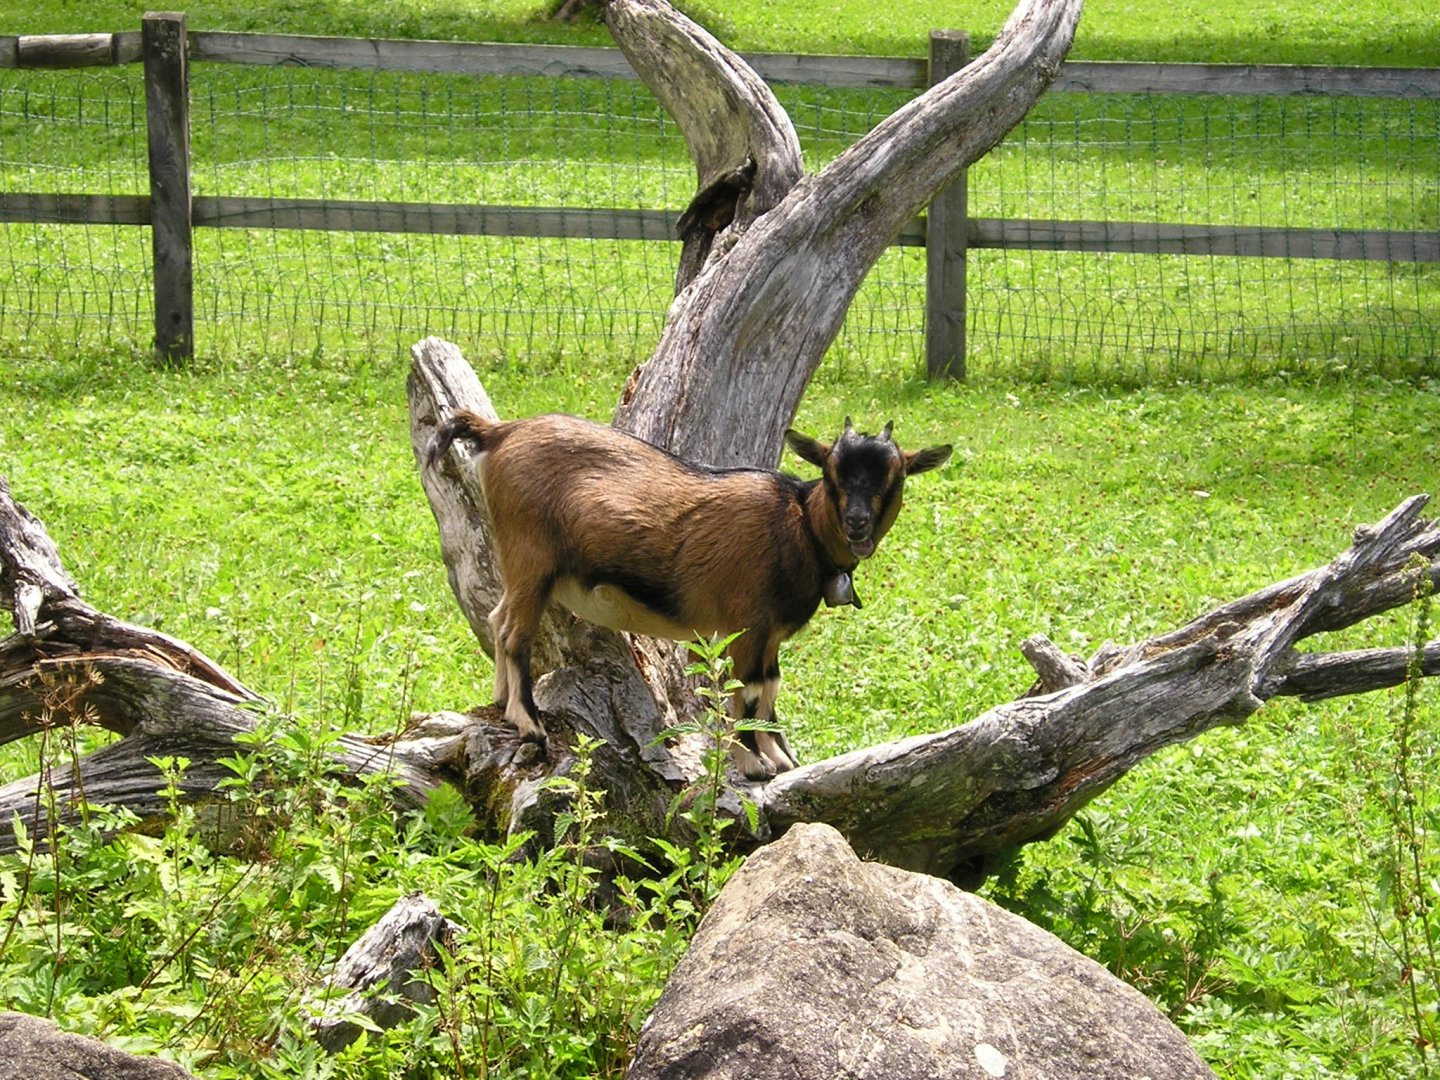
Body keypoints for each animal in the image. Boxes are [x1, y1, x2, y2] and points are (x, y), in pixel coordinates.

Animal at [423, 411, 956, 777]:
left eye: (895, 477)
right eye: (831, 472)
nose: (857, 524)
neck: (798, 524)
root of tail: (499, 432)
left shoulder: (770, 633)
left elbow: (770, 687)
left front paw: (781, 756)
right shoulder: (745, 623)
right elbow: (747, 690)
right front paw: (752, 763)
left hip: (522, 567)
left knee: (496, 618)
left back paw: (499, 701)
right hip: (530, 556)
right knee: (514, 632)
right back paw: (528, 722)